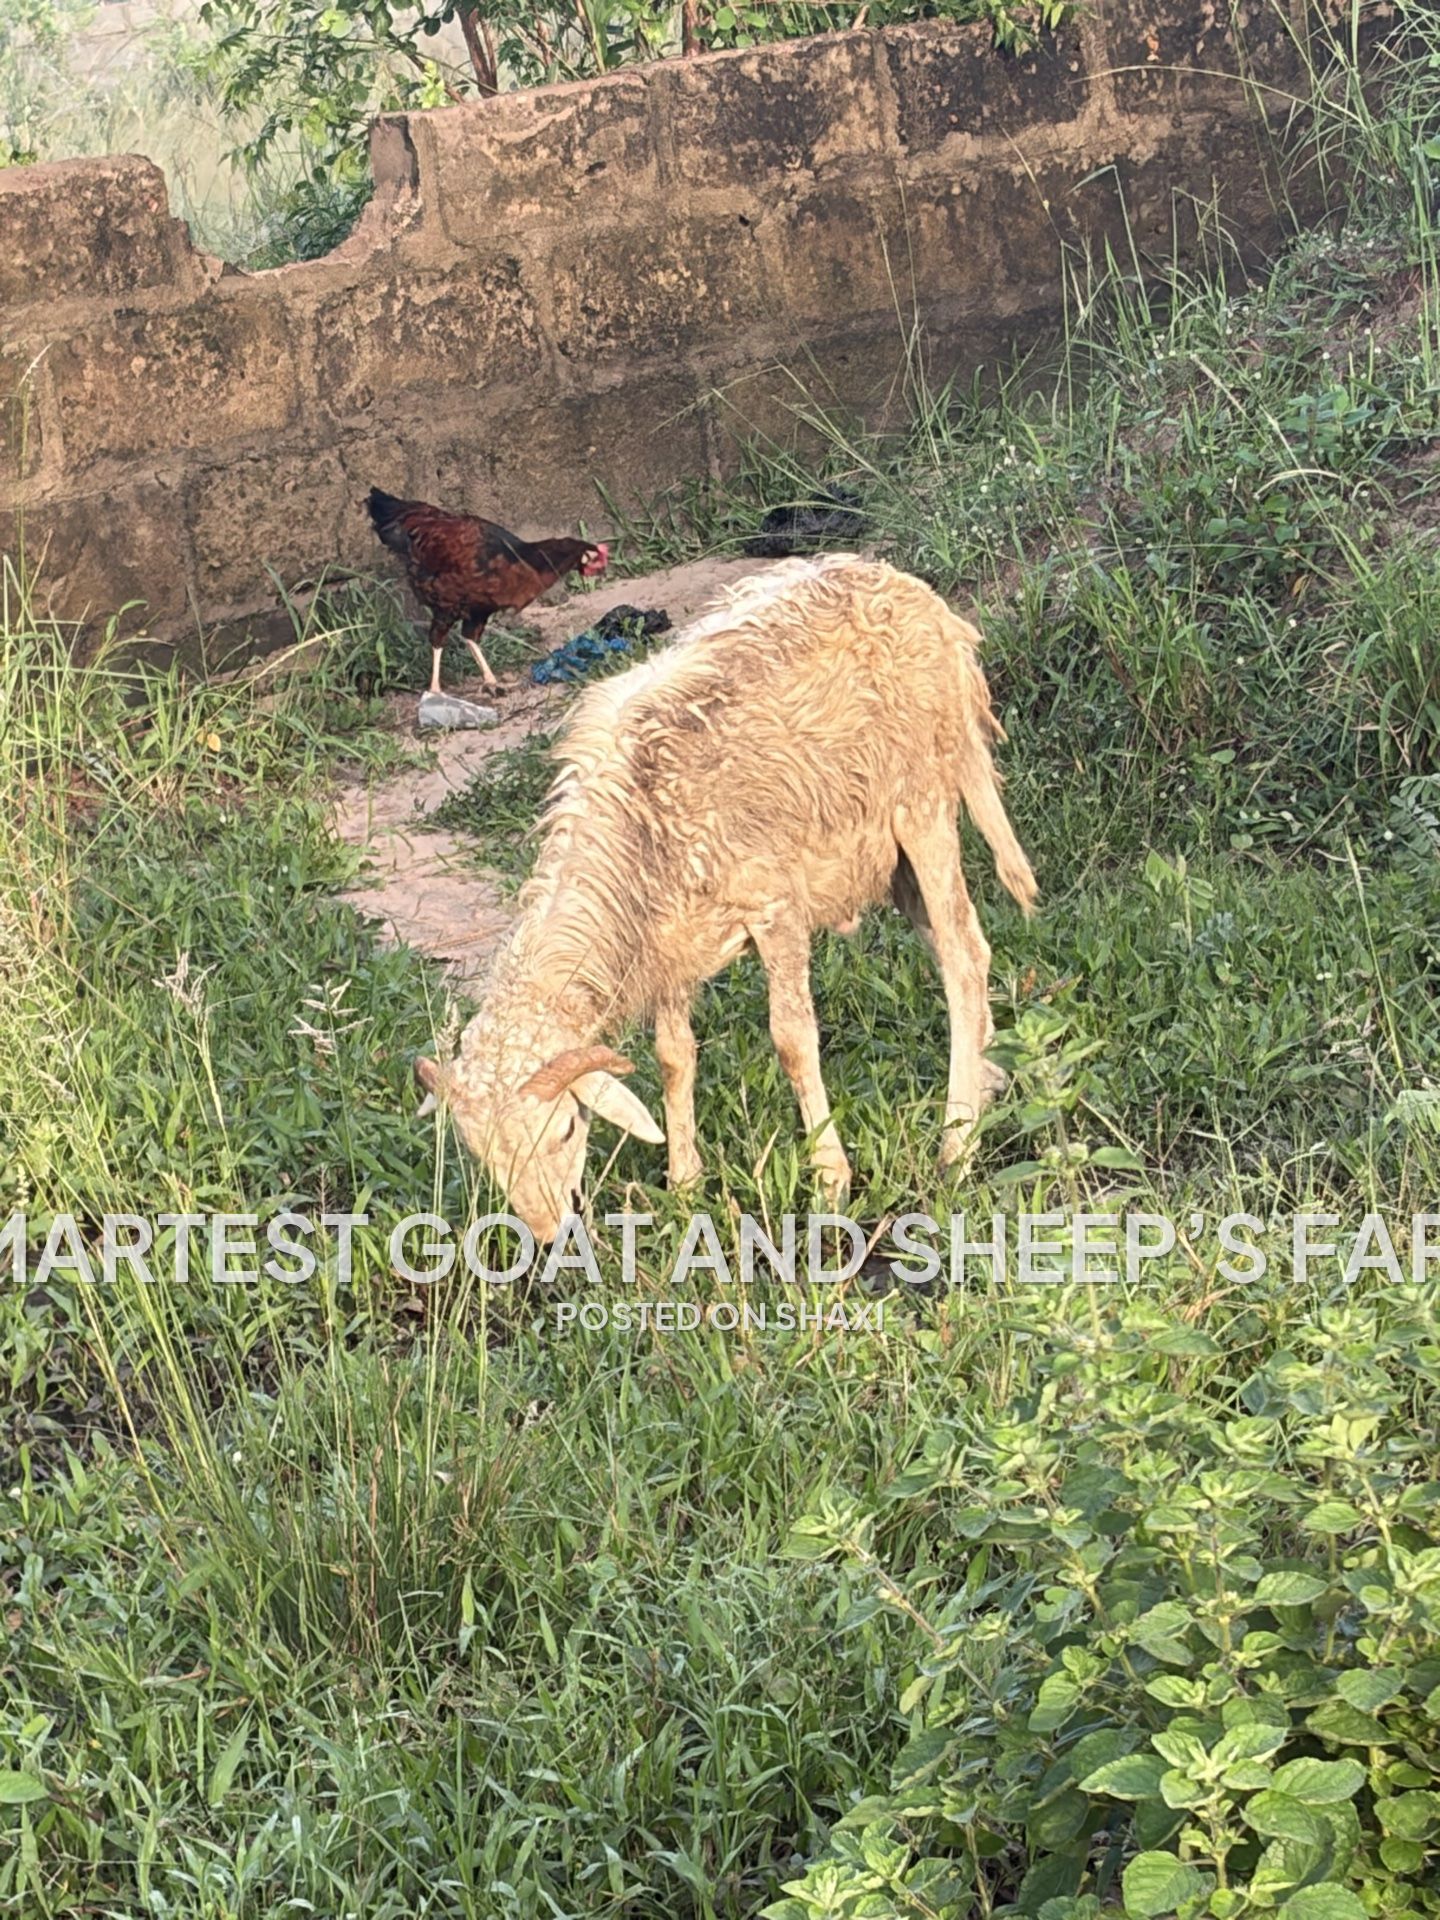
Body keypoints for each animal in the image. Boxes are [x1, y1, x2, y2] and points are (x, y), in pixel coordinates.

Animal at [414, 553, 1037, 1243]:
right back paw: (987, 1078)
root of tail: (915, 593)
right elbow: (673, 1058)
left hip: (921, 801)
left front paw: (830, 1179)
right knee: (966, 945)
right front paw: (684, 1184)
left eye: (568, 1129)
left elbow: (792, 1040)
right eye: (484, 1156)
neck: (642, 823)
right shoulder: (665, 947)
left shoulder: (774, 906)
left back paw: (957, 1143)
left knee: (961, 955)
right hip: (889, 858)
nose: (553, 1238)